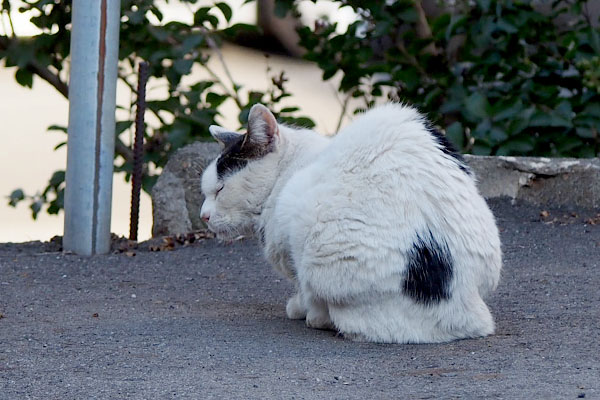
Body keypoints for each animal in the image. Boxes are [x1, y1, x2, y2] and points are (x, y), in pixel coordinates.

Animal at [202, 102, 502, 344]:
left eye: (220, 189)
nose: (203, 216)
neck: (289, 170)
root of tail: (461, 306)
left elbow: (303, 289)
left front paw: (299, 308)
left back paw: (316, 318)